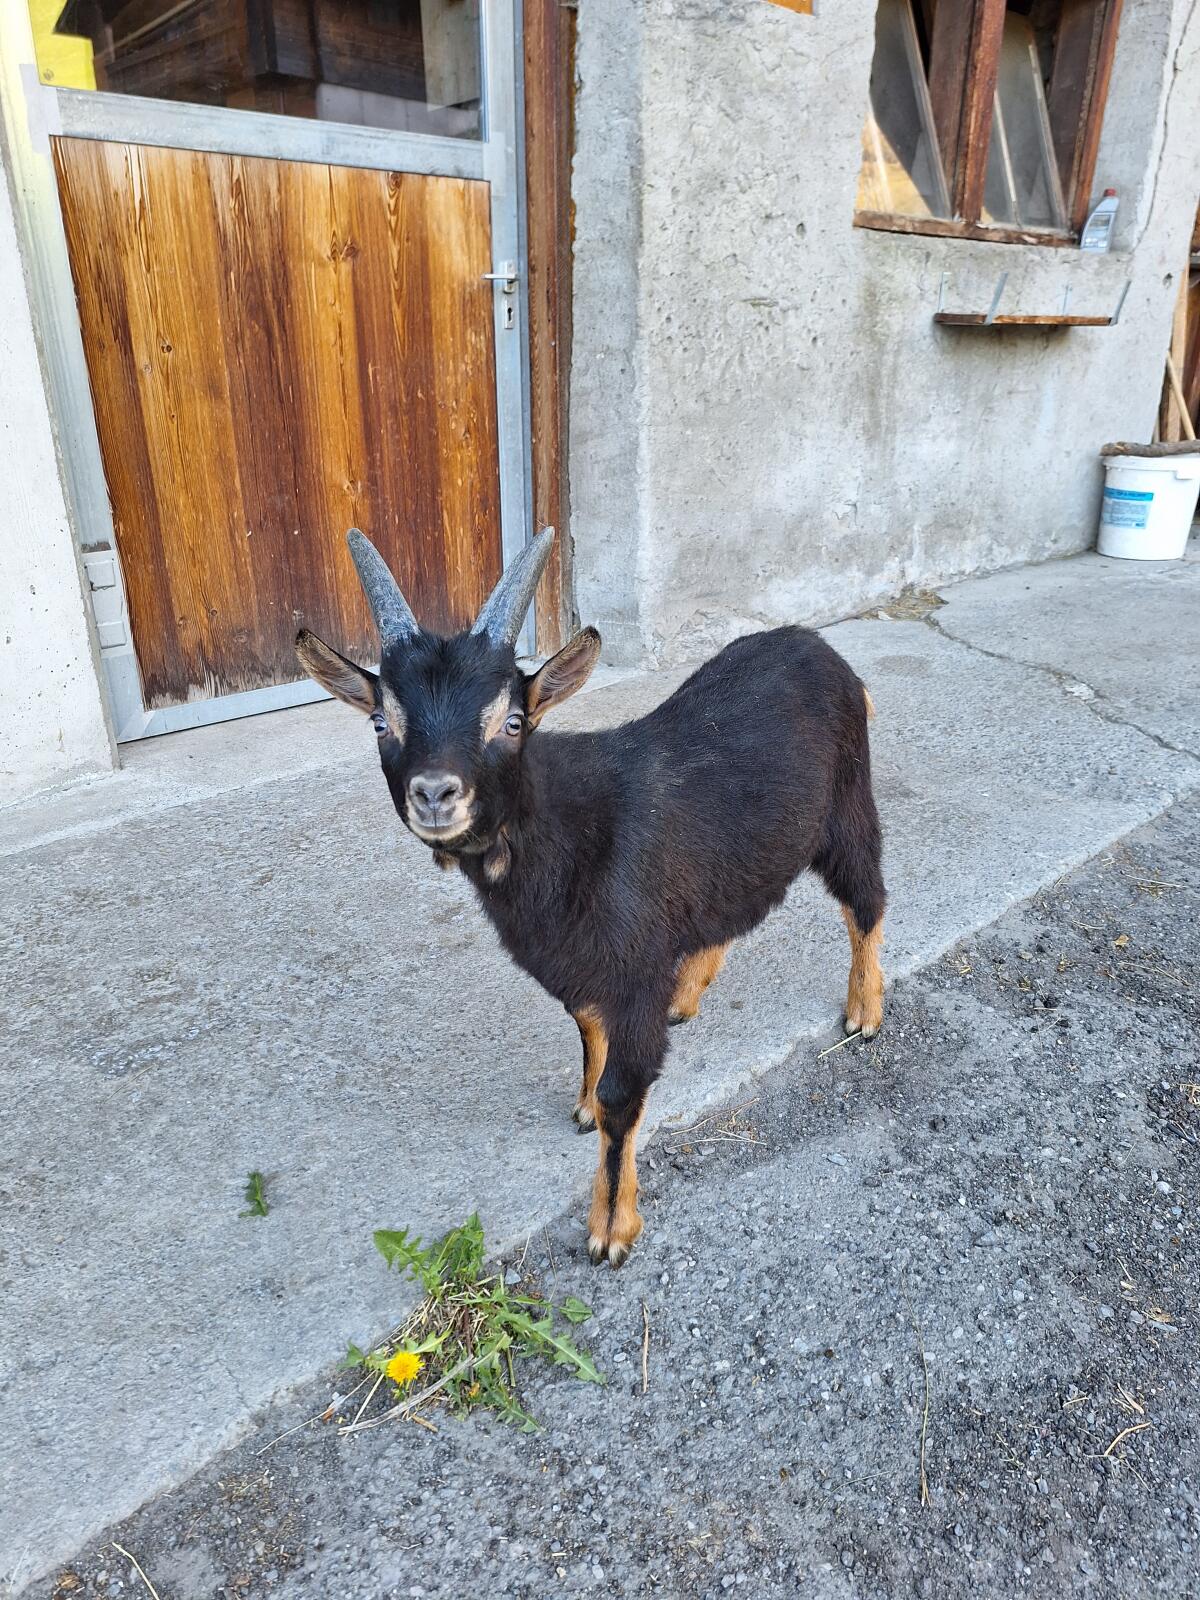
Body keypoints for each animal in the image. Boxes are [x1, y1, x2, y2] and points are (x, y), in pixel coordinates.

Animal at [297, 528, 885, 1267]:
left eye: (513, 720)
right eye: (381, 721)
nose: (434, 793)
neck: (565, 835)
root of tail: (822, 649)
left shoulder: (632, 972)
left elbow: (621, 1098)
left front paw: (611, 1227)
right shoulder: (583, 967)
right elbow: (587, 1031)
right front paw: (581, 1105)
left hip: (848, 804)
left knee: (866, 901)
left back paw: (865, 1010)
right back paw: (688, 993)